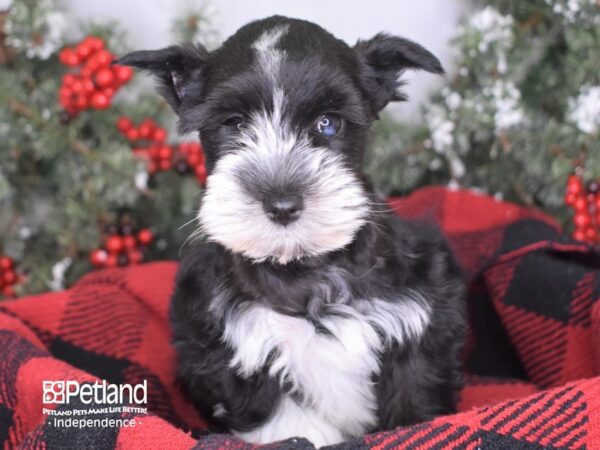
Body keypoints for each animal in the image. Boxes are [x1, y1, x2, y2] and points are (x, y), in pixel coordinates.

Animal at [119, 15, 466, 448]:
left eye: (328, 123)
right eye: (234, 124)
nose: (282, 205)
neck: (304, 269)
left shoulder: (419, 335)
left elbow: (414, 408)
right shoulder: (236, 356)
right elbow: (290, 424)